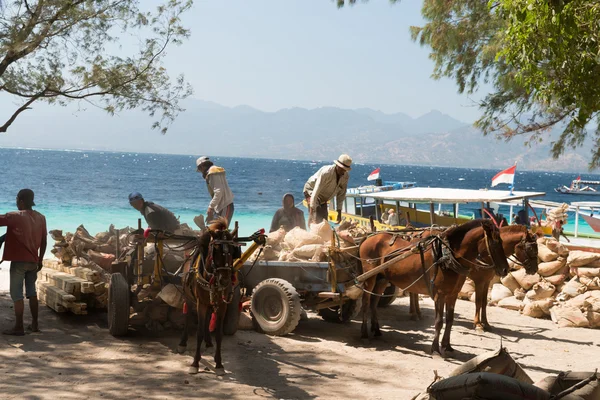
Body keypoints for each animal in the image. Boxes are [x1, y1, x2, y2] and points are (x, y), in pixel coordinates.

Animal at [177, 219, 236, 376]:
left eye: (233, 251)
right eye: (215, 250)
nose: (225, 281)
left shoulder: (222, 305)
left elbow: (219, 335)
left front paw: (219, 363)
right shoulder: (201, 303)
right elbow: (198, 332)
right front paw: (195, 363)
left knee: (209, 316)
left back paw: (209, 342)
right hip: (189, 297)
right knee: (187, 317)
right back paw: (183, 342)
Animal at [358, 220, 508, 358]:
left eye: (502, 241)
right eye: (495, 243)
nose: (505, 269)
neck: (447, 257)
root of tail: (369, 237)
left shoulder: (452, 294)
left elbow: (450, 320)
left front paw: (447, 346)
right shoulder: (439, 295)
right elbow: (439, 322)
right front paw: (435, 349)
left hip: (382, 279)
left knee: (374, 302)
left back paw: (376, 330)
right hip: (369, 277)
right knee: (365, 302)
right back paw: (364, 334)